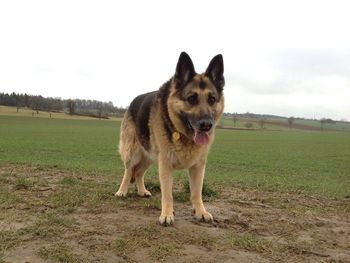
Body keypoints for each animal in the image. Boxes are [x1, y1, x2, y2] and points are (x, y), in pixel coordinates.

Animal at [115, 52, 224, 227]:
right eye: (191, 99)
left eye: (212, 99)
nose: (206, 125)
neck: (184, 134)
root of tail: (133, 101)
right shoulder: (165, 164)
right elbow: (167, 194)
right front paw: (167, 214)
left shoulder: (198, 166)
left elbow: (196, 192)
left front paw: (200, 212)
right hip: (134, 152)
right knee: (129, 170)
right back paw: (122, 191)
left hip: (150, 156)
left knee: (138, 173)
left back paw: (141, 191)